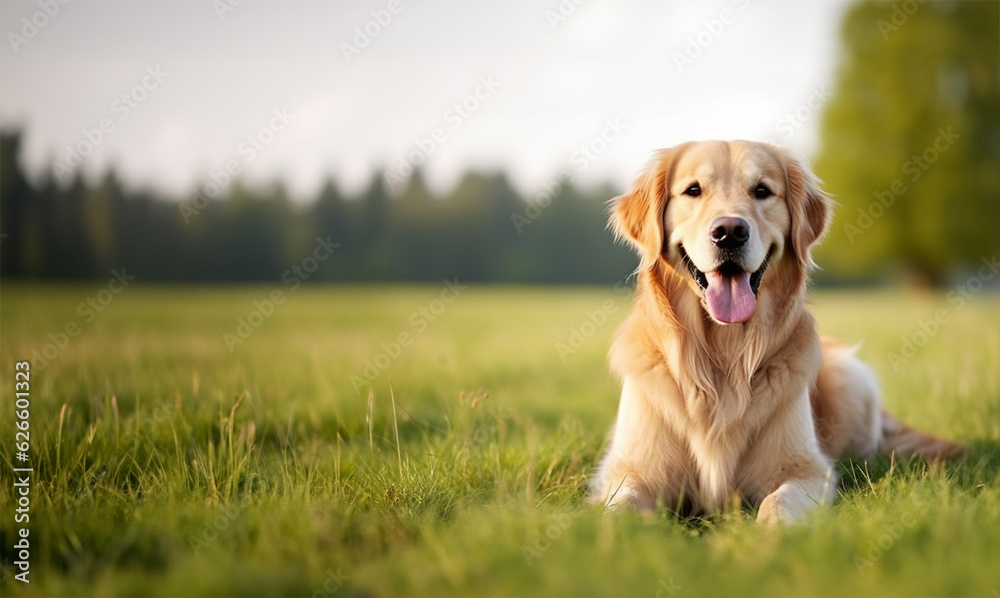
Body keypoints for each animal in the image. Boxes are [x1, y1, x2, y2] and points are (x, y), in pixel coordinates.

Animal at [588, 141, 964, 524]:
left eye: (762, 191)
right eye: (693, 190)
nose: (730, 231)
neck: (725, 354)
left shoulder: (807, 470)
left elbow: (777, 504)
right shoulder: (630, 470)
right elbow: (618, 510)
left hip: (852, 378)